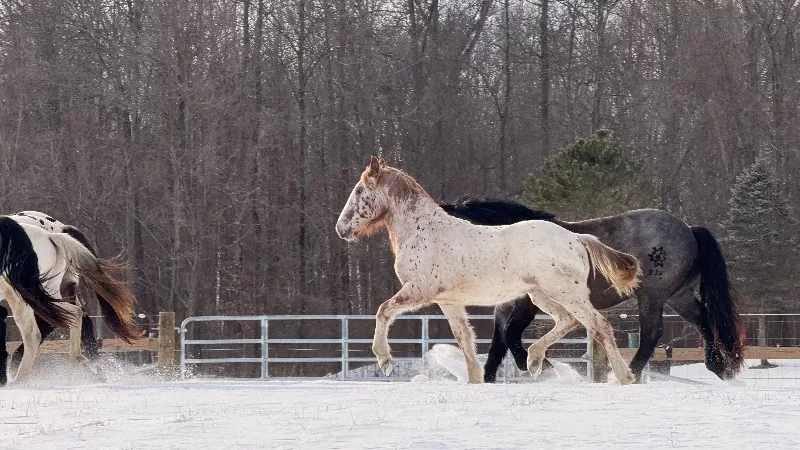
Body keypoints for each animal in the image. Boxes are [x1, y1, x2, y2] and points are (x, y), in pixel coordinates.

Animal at [338, 156, 644, 384]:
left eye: (359, 191)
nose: (341, 228)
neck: (423, 231)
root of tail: (577, 238)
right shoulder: (448, 301)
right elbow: (465, 338)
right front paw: (476, 379)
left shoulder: (419, 290)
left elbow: (383, 310)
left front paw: (384, 360)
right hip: (541, 295)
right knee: (568, 321)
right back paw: (534, 360)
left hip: (565, 293)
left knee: (598, 325)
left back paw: (624, 377)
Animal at [440, 198, 748, 384]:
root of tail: (689, 229)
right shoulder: (505, 307)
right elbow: (498, 343)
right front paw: (489, 378)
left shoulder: (529, 304)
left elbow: (512, 337)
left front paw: (543, 367)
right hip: (678, 297)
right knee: (704, 321)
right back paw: (718, 366)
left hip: (653, 296)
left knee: (652, 333)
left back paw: (628, 373)